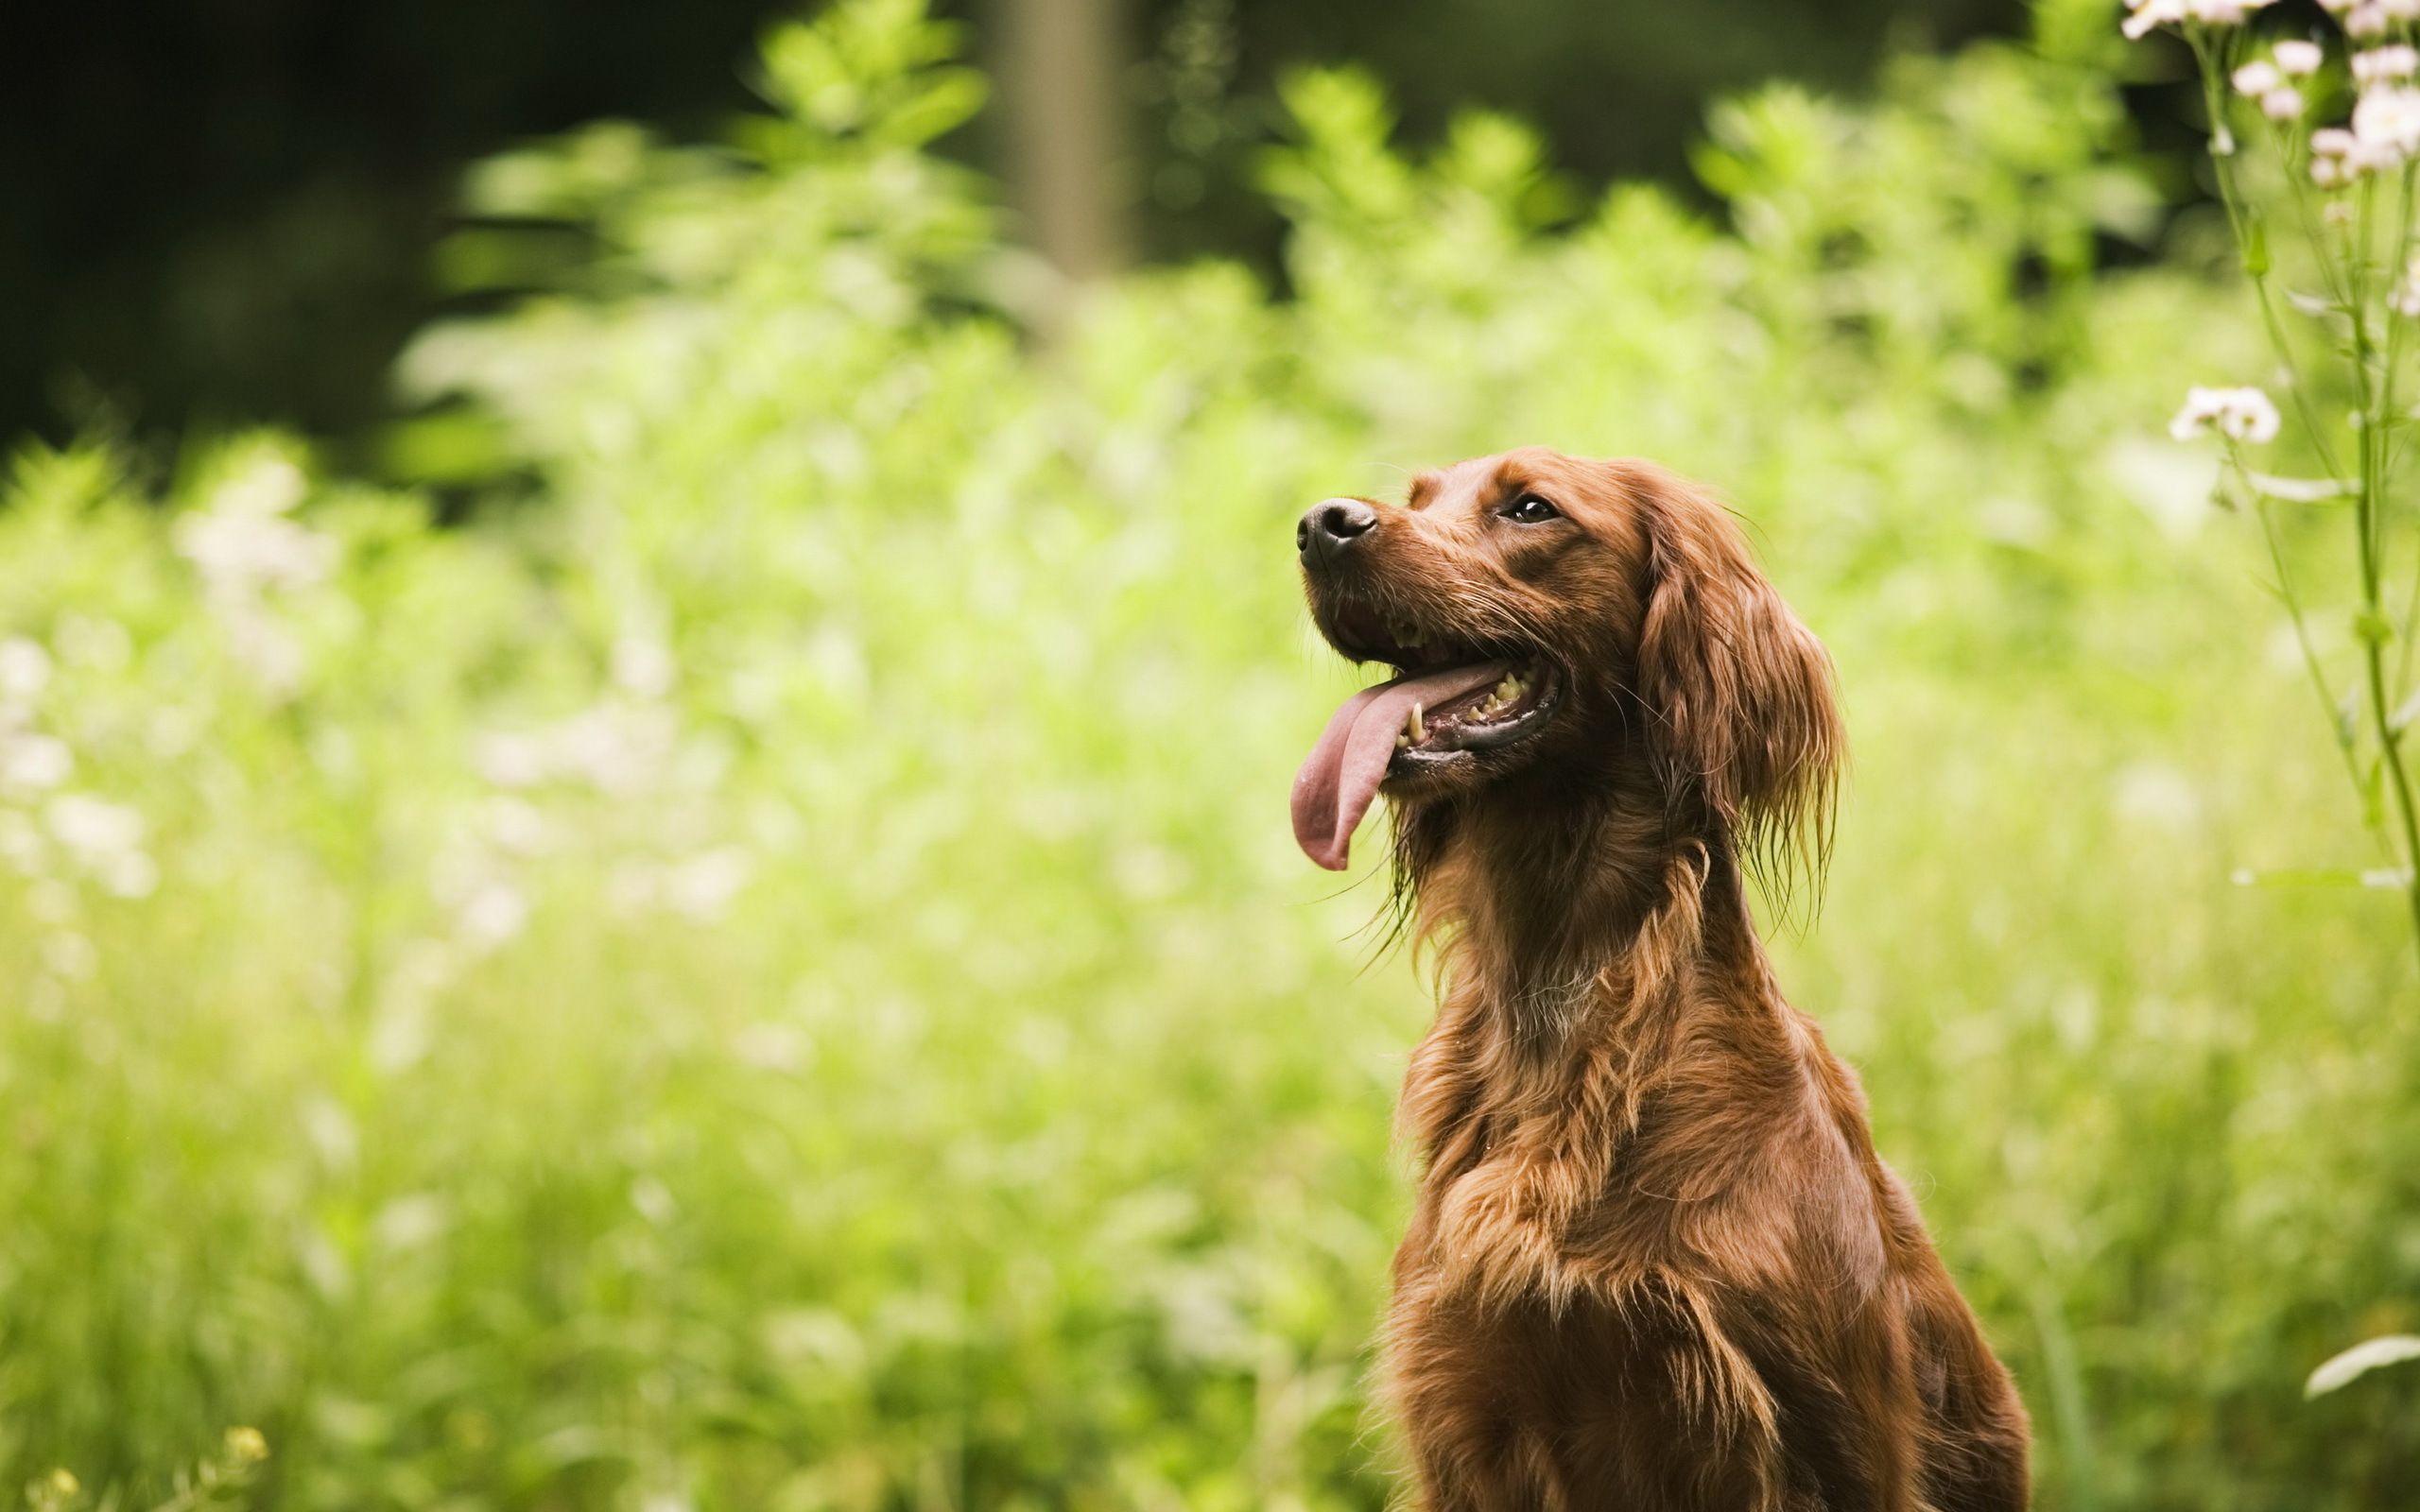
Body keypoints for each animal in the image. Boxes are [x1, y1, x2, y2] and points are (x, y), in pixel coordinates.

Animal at [1287, 447, 2023, 1509]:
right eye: (1420, 497)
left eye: (1530, 508)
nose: (1319, 524)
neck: (1562, 999)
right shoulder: (1467, 1415)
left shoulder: (1820, 1437)